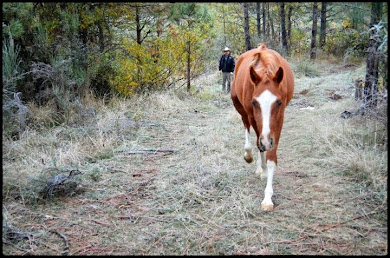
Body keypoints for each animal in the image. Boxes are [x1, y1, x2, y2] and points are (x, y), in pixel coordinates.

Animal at [230, 42, 294, 212]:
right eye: (254, 102)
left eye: (278, 102)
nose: (267, 141)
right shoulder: (253, 116)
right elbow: (259, 144)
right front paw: (261, 167)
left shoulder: (279, 120)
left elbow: (271, 156)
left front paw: (267, 197)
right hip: (242, 111)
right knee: (248, 132)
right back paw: (251, 158)